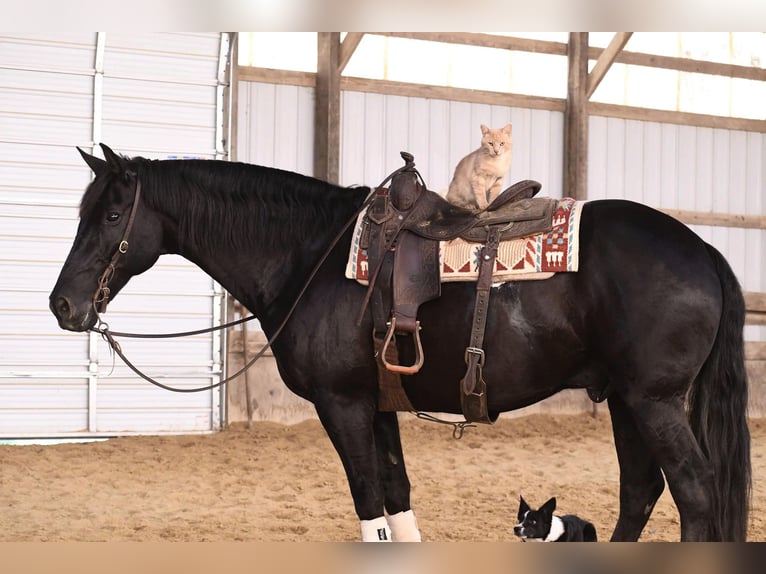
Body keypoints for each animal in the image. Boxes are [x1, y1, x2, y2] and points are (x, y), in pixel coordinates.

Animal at [49, 145, 756, 544]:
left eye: (111, 215)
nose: (63, 305)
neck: (309, 255)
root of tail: (703, 249)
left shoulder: (342, 406)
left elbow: (370, 504)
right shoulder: (380, 404)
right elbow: (397, 495)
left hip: (655, 402)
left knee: (694, 493)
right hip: (626, 401)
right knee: (639, 493)